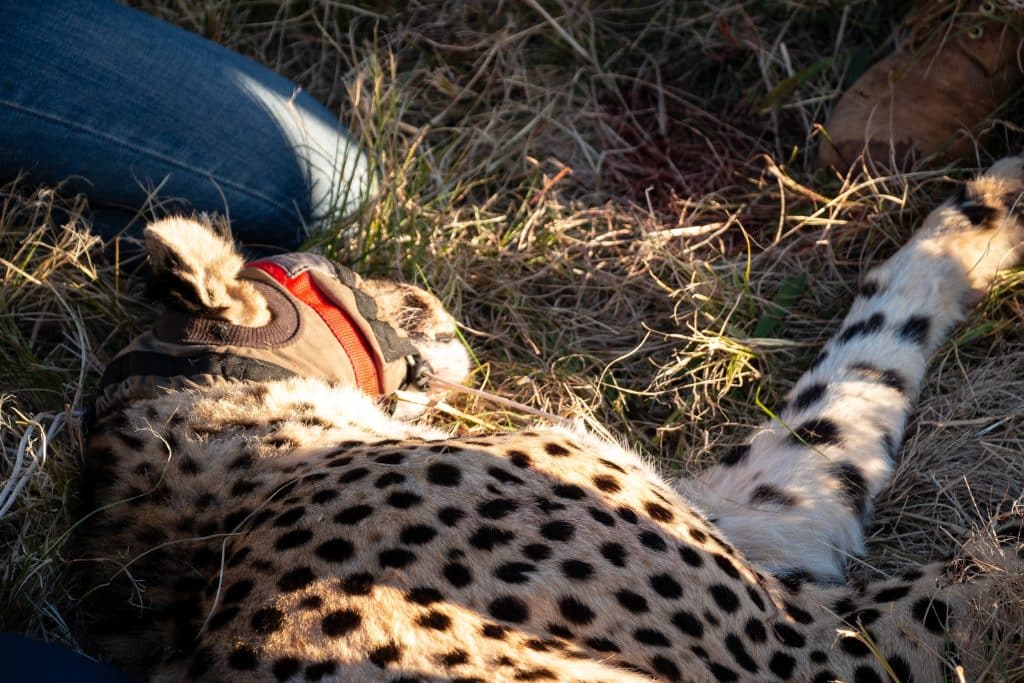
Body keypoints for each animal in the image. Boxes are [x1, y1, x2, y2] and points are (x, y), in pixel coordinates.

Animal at [74, 157, 1024, 683]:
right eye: (320, 273)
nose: (429, 297)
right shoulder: (795, 650)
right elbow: (977, 584)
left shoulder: (767, 528)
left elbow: (857, 374)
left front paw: (986, 211)